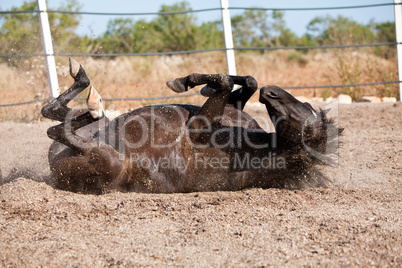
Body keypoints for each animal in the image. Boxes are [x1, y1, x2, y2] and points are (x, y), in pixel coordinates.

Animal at [41, 58, 342, 194]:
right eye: (306, 105)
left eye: (308, 125)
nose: (272, 92)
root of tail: (55, 172)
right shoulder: (232, 109)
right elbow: (243, 82)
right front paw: (196, 84)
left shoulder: (197, 127)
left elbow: (224, 81)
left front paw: (185, 81)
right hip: (95, 133)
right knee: (54, 113)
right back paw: (82, 80)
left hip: (111, 161)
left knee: (57, 127)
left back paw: (91, 99)